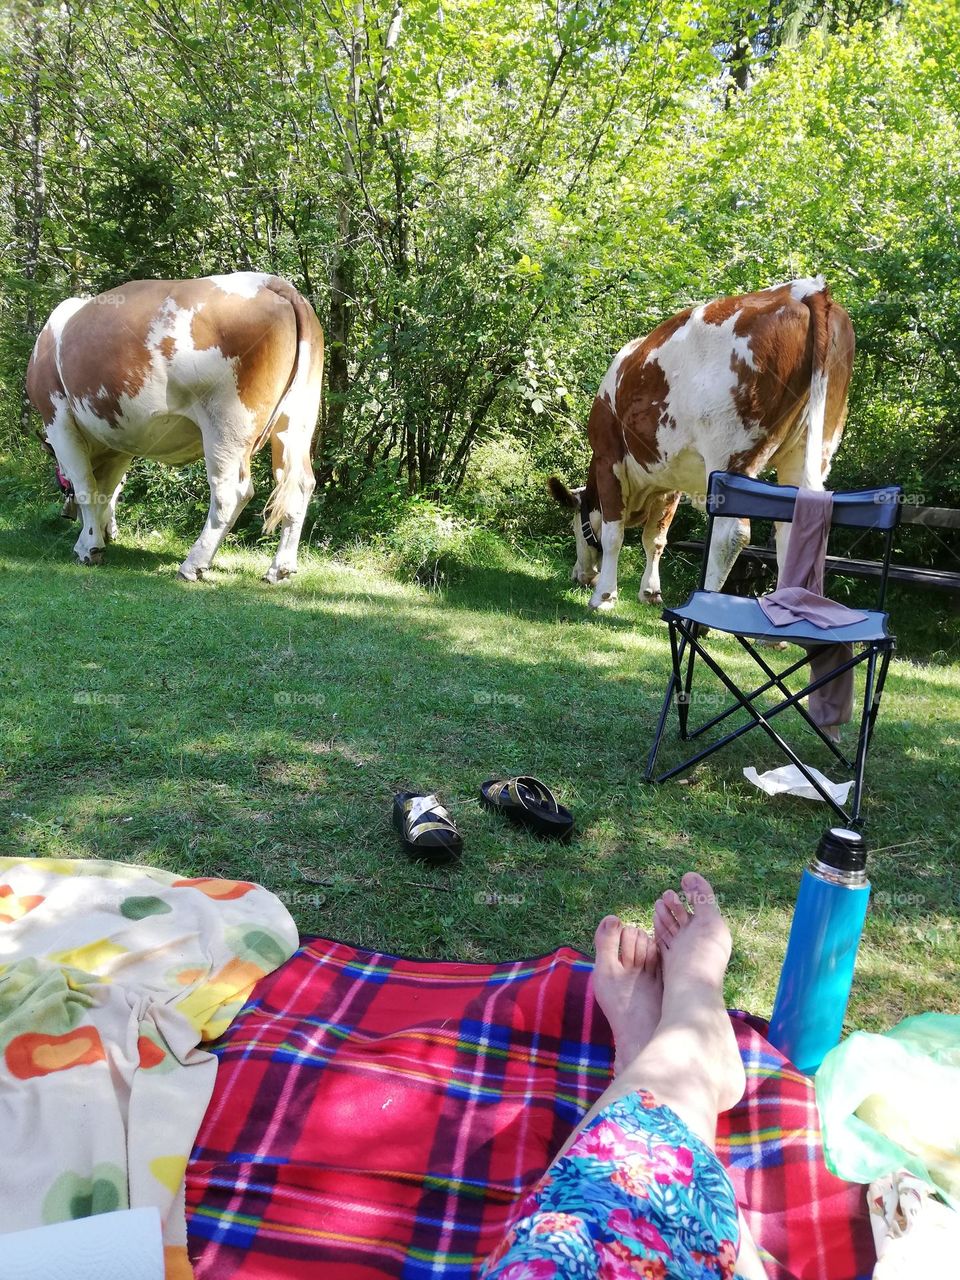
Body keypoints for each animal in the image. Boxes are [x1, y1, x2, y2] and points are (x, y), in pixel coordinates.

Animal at [26, 272, 324, 583]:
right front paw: (103, 534)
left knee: (230, 492)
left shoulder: (57, 416)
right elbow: (107, 489)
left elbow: (86, 485)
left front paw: (89, 545)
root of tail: (270, 282)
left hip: (226, 423)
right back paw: (280, 568)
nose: (65, 514)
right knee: (300, 484)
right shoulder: (117, 440)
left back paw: (193, 564)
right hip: (297, 421)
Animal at [549, 277, 855, 610]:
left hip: (729, 454)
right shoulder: (669, 480)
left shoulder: (609, 459)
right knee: (795, 529)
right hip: (809, 450)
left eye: (574, 527)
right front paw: (651, 592)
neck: (645, 489)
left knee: (730, 533)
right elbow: (655, 539)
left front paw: (604, 596)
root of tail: (804, 289)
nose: (579, 576)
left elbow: (612, 533)